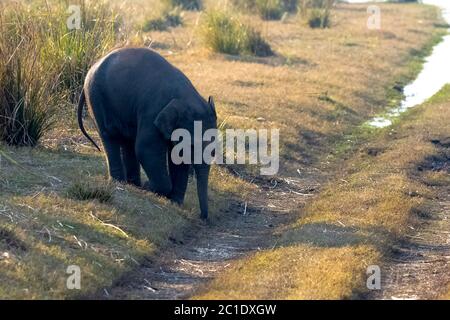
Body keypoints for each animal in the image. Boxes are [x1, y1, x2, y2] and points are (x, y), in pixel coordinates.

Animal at [78, 46, 218, 219]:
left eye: (214, 151)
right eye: (192, 146)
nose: (202, 217)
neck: (185, 96)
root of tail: (92, 67)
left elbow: (177, 159)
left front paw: (174, 202)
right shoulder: (152, 112)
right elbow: (145, 149)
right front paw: (151, 188)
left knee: (128, 142)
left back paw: (133, 184)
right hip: (97, 98)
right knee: (110, 136)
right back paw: (121, 183)